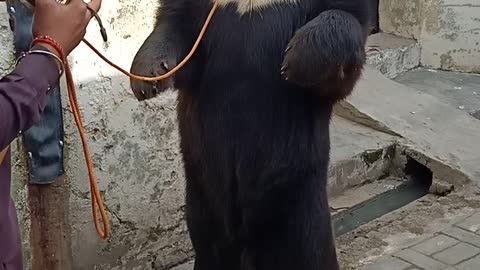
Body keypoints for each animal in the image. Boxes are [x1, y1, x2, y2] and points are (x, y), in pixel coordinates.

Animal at [130, 1, 372, 268]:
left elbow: (348, 21)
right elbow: (179, 29)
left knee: (307, 247)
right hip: (201, 192)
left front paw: (297, 59)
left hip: (297, 189)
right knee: (209, 244)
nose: (294, 59)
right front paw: (146, 78)